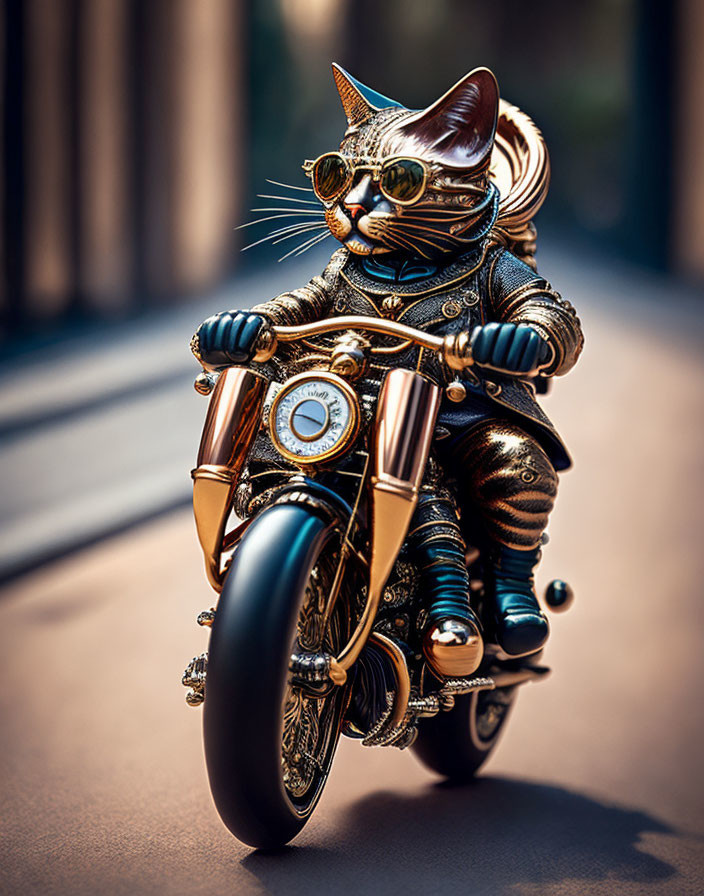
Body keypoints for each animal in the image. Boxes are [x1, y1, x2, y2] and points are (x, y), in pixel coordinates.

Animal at [192, 63, 584, 680]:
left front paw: (512, 341)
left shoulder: (504, 274)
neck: (404, 267)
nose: (351, 208)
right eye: (333, 173)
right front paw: (232, 330)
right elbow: (298, 304)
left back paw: (512, 621)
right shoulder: (329, 282)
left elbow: (546, 309)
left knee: (515, 472)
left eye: (401, 178)